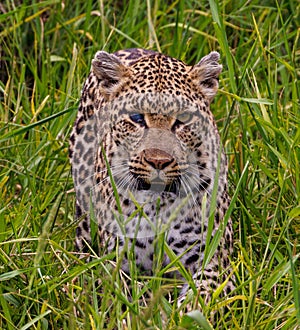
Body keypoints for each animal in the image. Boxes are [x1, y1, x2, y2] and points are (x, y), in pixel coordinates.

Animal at [69, 47, 236, 310]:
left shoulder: (214, 262)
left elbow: (199, 300)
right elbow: (132, 298)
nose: (158, 160)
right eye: (137, 118)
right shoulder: (118, 262)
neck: (160, 203)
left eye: (183, 118)